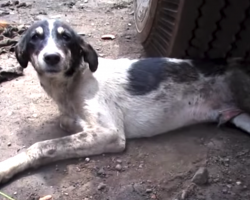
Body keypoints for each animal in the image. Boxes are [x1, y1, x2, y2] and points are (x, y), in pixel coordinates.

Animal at [0, 19, 250, 184]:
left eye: (66, 38)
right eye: (35, 37)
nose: (52, 57)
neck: (72, 83)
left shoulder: (110, 133)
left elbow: (44, 146)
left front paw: (7, 166)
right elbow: (66, 122)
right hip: (241, 117)